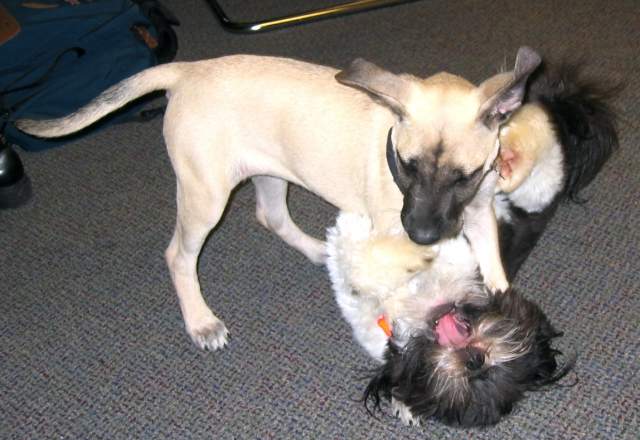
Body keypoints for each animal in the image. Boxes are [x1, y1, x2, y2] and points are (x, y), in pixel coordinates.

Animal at [16, 47, 540, 350]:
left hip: (269, 171)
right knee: (178, 255)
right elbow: (402, 285)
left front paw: (504, 307)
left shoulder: (477, 214)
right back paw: (201, 321)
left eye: (463, 176)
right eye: (405, 166)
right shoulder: (395, 235)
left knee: (270, 216)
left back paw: (316, 250)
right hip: (205, 196)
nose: (423, 233)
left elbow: (494, 270)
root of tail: (186, 72)